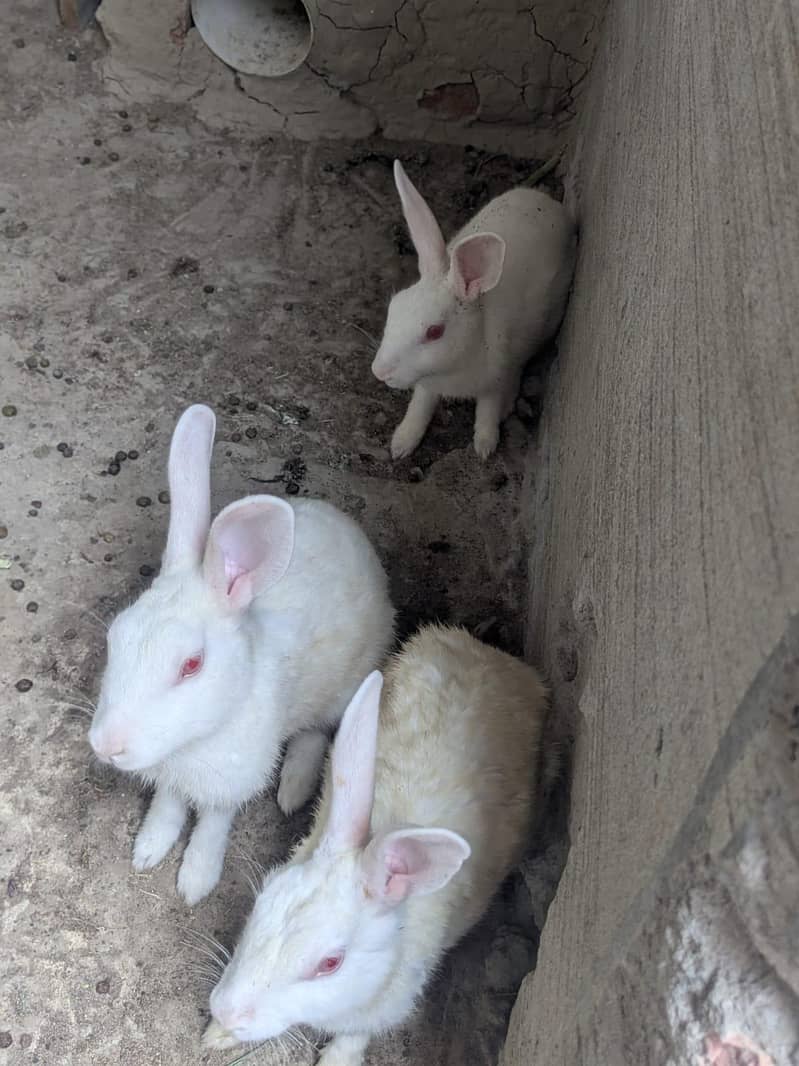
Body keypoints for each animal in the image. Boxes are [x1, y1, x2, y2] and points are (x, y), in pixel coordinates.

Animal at [88, 404, 395, 906]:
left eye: (191, 665)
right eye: (115, 636)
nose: (106, 746)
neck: (192, 742)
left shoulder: (231, 780)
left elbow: (213, 823)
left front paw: (195, 880)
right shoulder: (171, 779)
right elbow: (168, 806)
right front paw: (149, 849)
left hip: (344, 685)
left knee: (316, 732)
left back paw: (292, 789)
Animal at [204, 623, 549, 1065]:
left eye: (330, 963)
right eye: (262, 900)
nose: (226, 1009)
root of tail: (495, 657)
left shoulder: (387, 1004)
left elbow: (356, 1035)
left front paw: (336, 1059)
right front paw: (216, 1035)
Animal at [372, 160, 577, 460]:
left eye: (434, 332)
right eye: (393, 307)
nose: (379, 371)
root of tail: (552, 205)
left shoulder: (493, 380)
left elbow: (487, 410)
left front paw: (485, 445)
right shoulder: (427, 385)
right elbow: (420, 406)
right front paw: (401, 443)